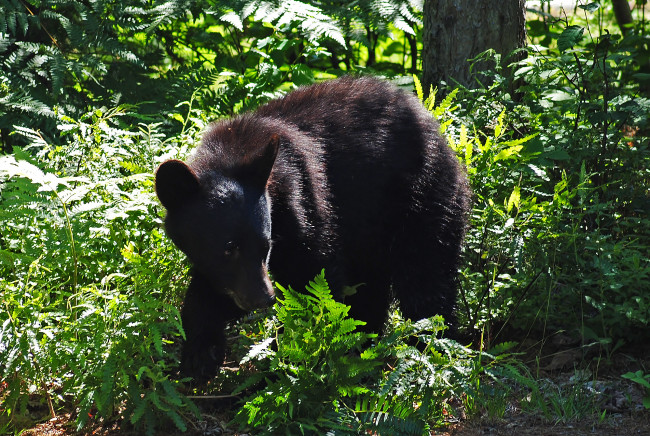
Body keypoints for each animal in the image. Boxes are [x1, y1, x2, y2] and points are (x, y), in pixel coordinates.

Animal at [157, 76, 470, 380]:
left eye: (265, 245)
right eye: (228, 247)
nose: (263, 298)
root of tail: (435, 128)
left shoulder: (303, 201)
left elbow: (315, 279)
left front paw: (294, 358)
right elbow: (210, 290)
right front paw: (199, 355)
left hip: (424, 197)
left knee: (425, 276)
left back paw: (430, 345)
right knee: (372, 286)